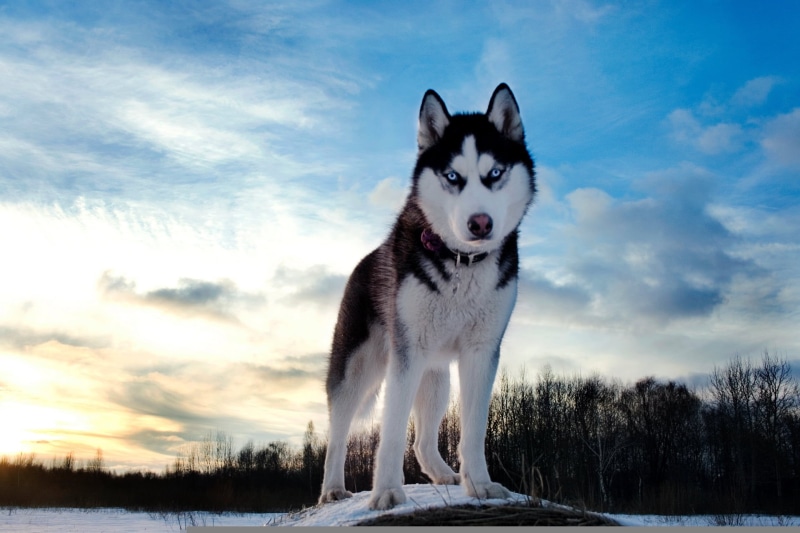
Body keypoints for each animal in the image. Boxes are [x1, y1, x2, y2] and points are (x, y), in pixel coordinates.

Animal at [319, 83, 535, 510]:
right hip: (358, 369)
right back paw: (332, 488)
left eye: (495, 174)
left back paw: (443, 474)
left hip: (435, 378)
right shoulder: (407, 354)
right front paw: (387, 491)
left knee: (421, 441)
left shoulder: (481, 352)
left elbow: (473, 430)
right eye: (452, 176)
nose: (480, 223)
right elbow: (389, 433)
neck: (461, 262)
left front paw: (480, 485)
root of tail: (364, 261)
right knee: (338, 432)